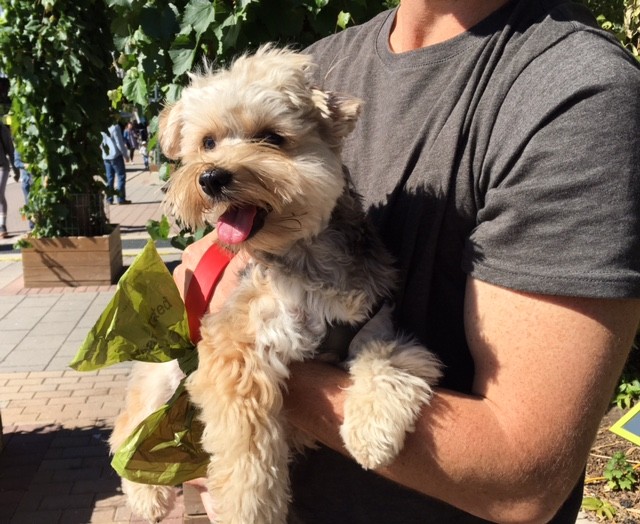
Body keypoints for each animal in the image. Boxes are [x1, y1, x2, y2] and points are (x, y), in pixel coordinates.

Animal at [110, 46, 440, 524]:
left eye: (270, 137)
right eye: (207, 142)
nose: (211, 177)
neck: (307, 258)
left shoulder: (372, 322)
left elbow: (392, 359)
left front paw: (372, 430)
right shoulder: (233, 345)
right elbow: (246, 447)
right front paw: (248, 507)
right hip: (164, 376)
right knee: (128, 426)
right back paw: (145, 494)